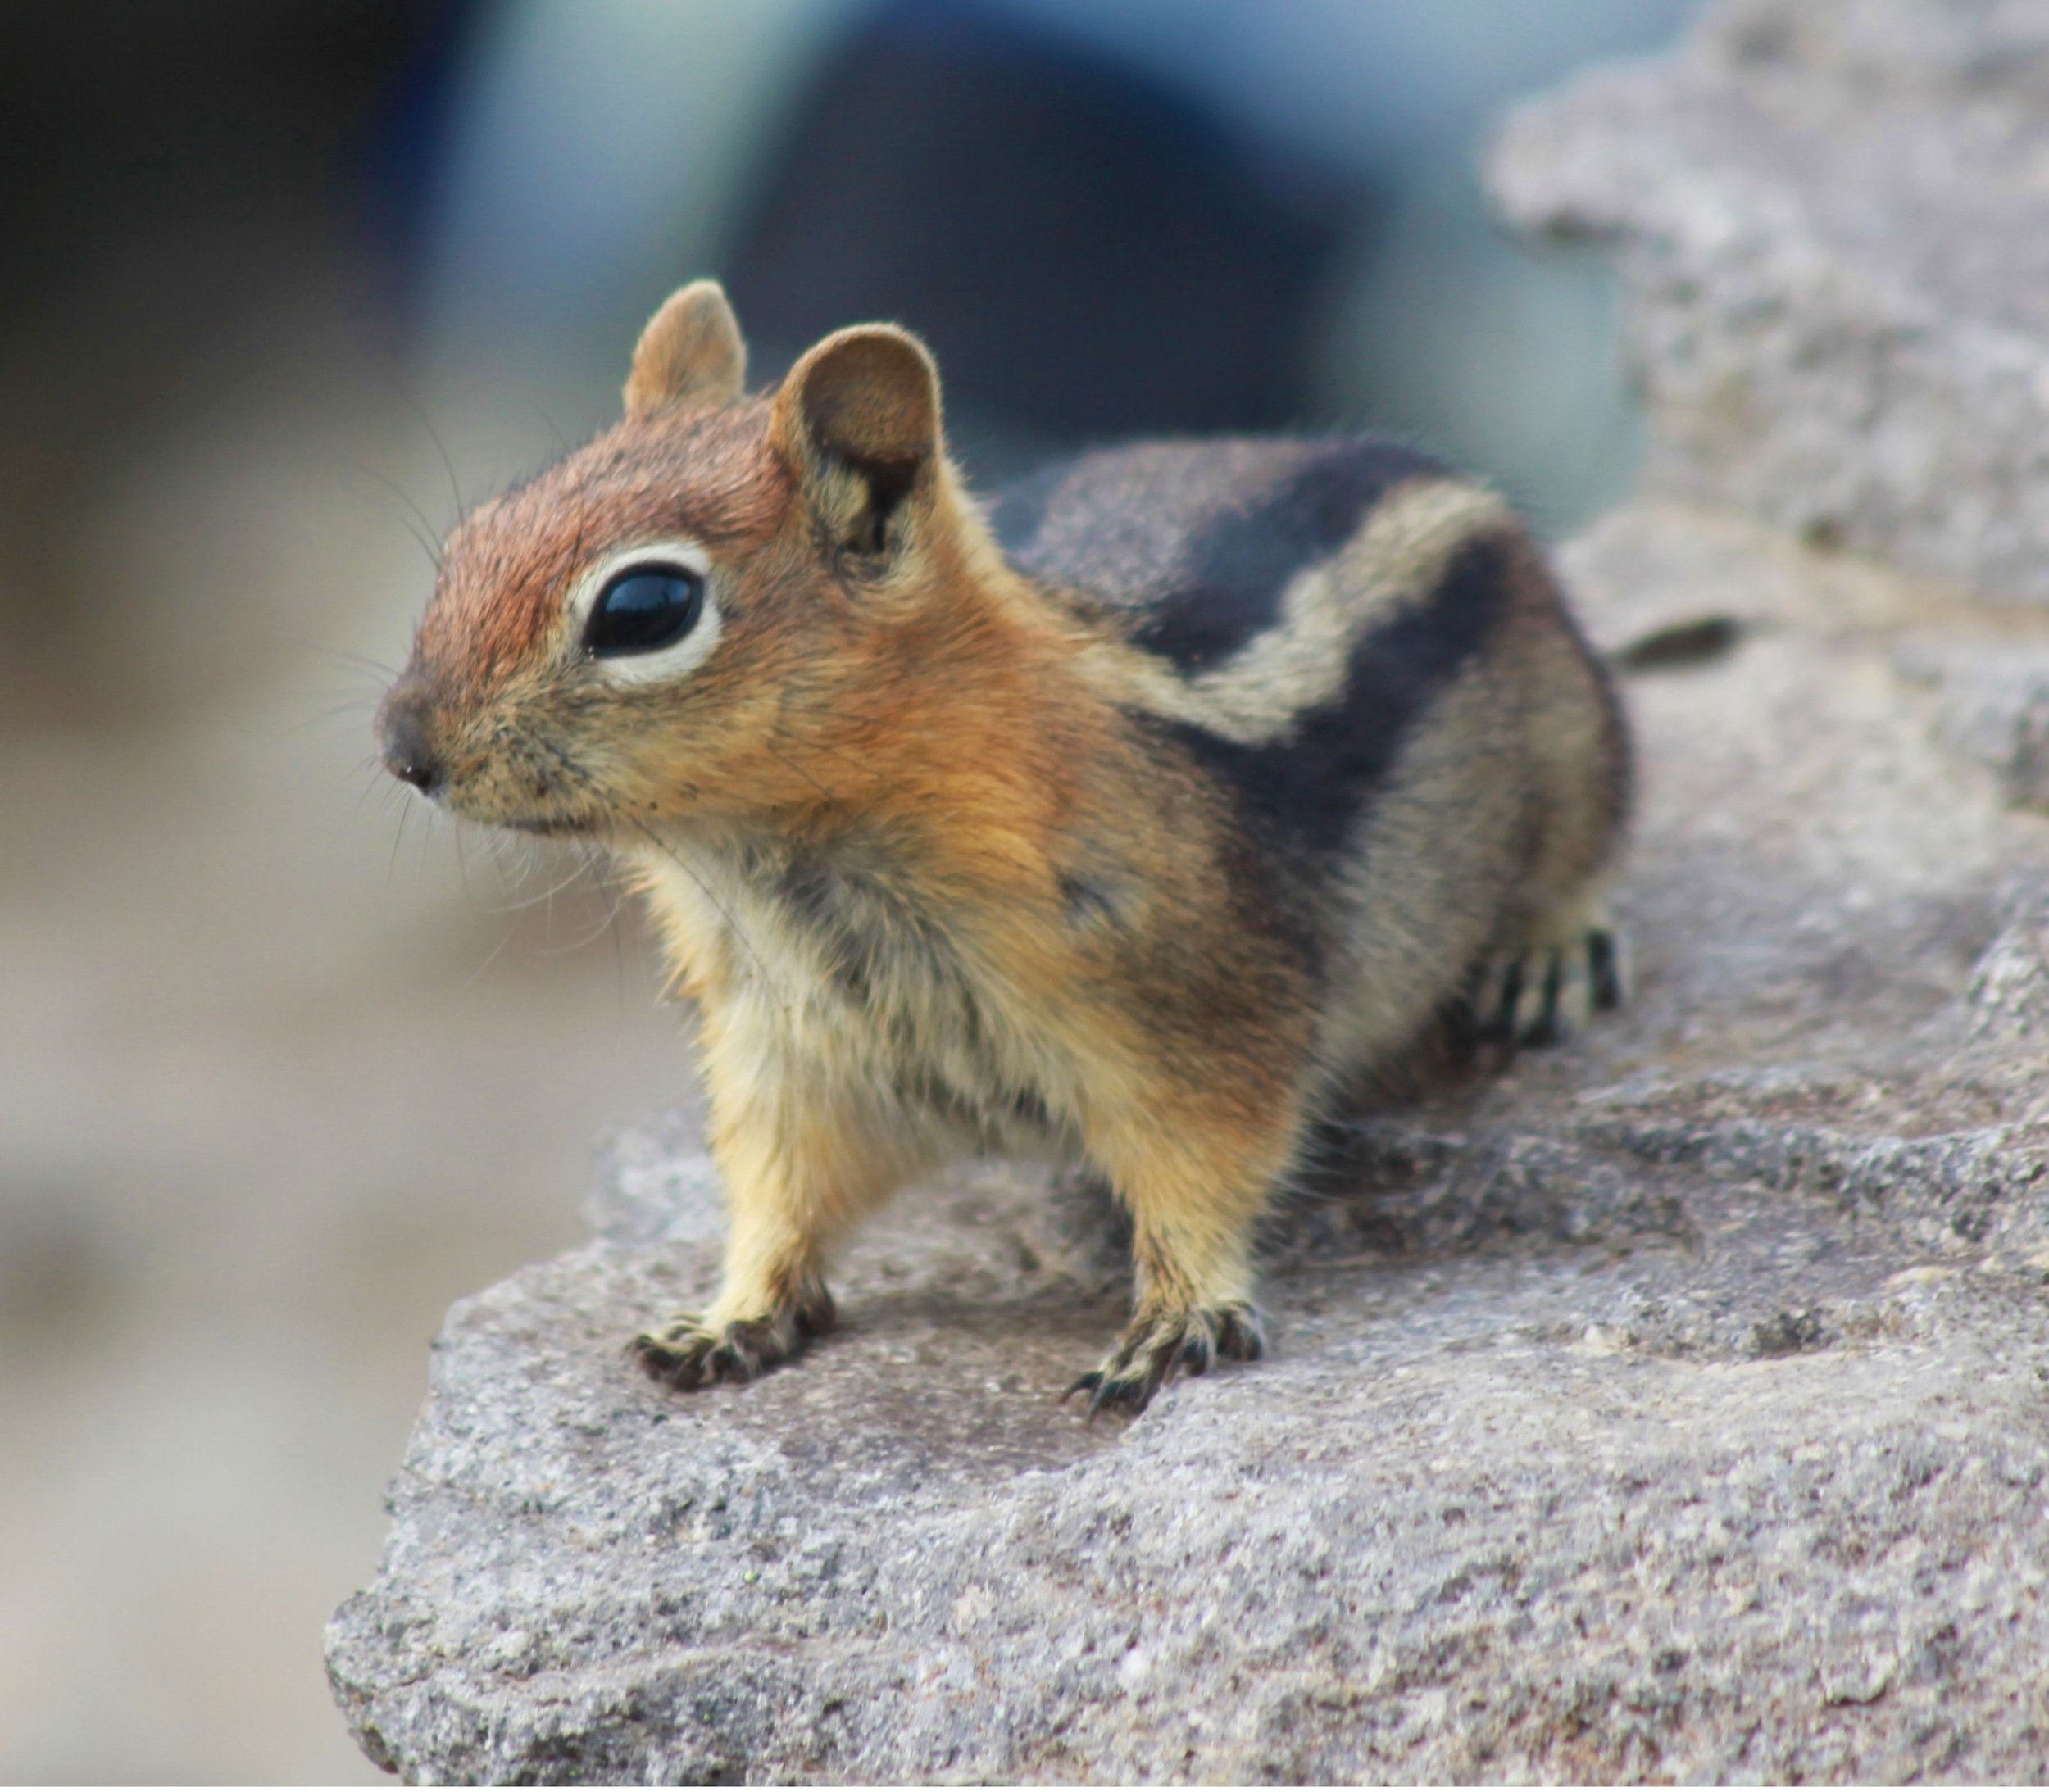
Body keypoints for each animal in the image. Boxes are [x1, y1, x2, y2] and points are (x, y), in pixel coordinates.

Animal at [376, 279, 1631, 1414]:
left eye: (644, 608)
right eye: (476, 537)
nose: (402, 749)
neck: (786, 863)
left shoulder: (1199, 1007)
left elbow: (1206, 1167)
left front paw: (1178, 1318)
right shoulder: (782, 1045)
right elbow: (776, 1187)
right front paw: (730, 1314)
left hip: (1576, 738)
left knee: (1589, 842)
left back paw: (1546, 955)